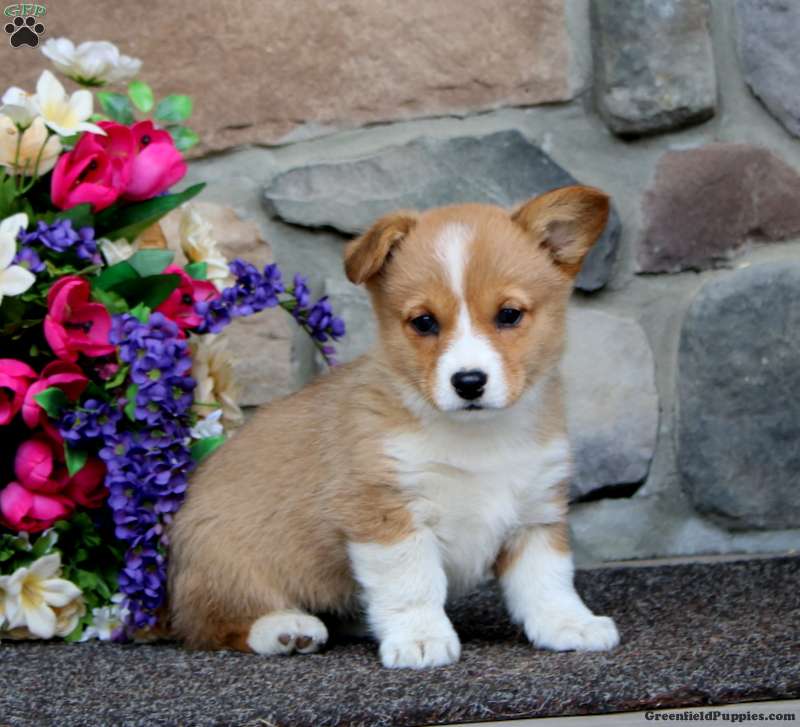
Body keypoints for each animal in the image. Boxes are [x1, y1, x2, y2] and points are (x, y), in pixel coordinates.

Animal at [168, 185, 620, 668]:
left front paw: (570, 625)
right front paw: (420, 639)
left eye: (509, 315)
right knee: (211, 623)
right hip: (228, 564)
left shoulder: (535, 514)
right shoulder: (386, 513)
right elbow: (413, 585)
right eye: (424, 322)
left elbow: (548, 582)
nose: (469, 382)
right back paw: (286, 628)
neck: (478, 436)